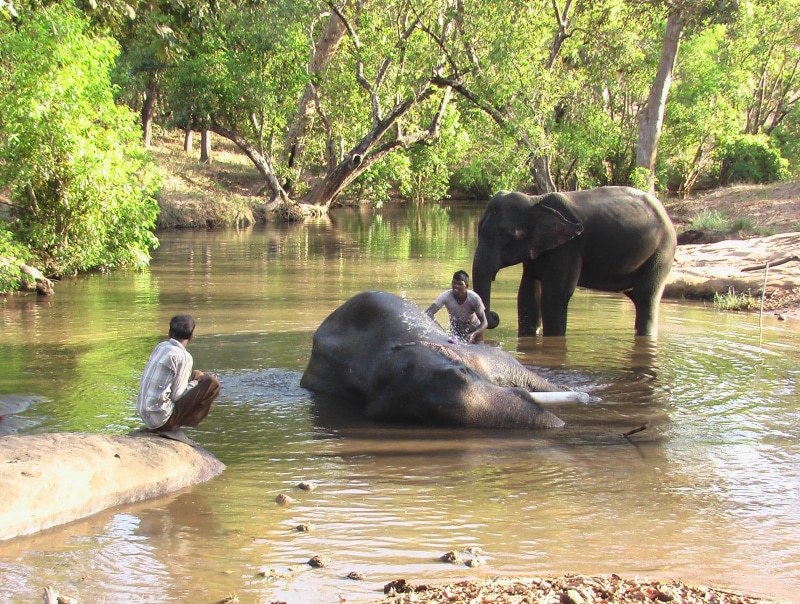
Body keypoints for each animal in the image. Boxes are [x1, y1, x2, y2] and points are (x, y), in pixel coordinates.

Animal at [472, 186, 677, 337]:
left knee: (647, 297)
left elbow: (555, 296)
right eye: (479, 231)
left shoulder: (568, 248)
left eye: (506, 238)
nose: (495, 316)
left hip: (662, 253)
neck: (535, 201)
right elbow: (527, 294)